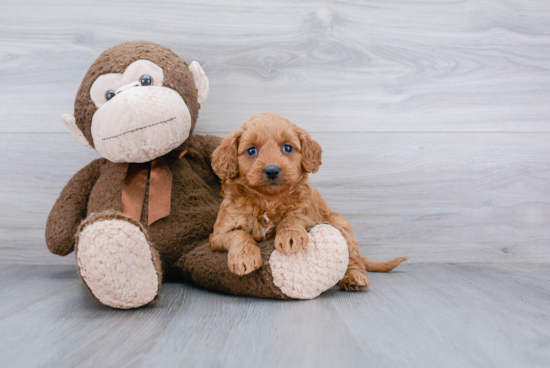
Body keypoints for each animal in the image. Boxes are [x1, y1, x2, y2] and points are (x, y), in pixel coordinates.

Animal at [209, 112, 408, 290]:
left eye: (288, 148)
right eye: (251, 150)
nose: (272, 170)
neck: (269, 200)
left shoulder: (310, 213)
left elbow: (294, 216)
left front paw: (290, 236)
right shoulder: (217, 235)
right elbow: (238, 233)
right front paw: (245, 257)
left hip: (340, 223)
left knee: (354, 259)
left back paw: (354, 278)